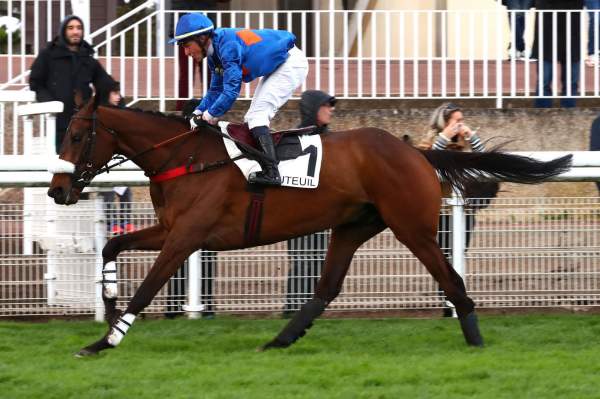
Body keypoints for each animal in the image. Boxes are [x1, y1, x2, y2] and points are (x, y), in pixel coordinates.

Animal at [49, 96, 568, 356]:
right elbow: (110, 250)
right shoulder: (172, 230)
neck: (187, 157)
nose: (57, 190)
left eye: (74, 134)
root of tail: (417, 151)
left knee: (452, 279)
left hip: (413, 228)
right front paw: (107, 302)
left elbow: (148, 289)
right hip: (353, 227)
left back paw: (475, 339)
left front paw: (104, 340)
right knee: (326, 286)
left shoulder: (185, 238)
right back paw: (280, 339)